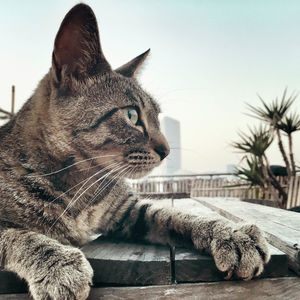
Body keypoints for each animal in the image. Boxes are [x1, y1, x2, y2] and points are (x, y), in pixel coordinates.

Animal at [0, 2, 270, 300]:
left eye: (157, 117)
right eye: (132, 115)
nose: (166, 150)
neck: (80, 188)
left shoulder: (127, 210)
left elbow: (175, 214)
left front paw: (231, 233)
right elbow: (19, 236)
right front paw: (58, 264)